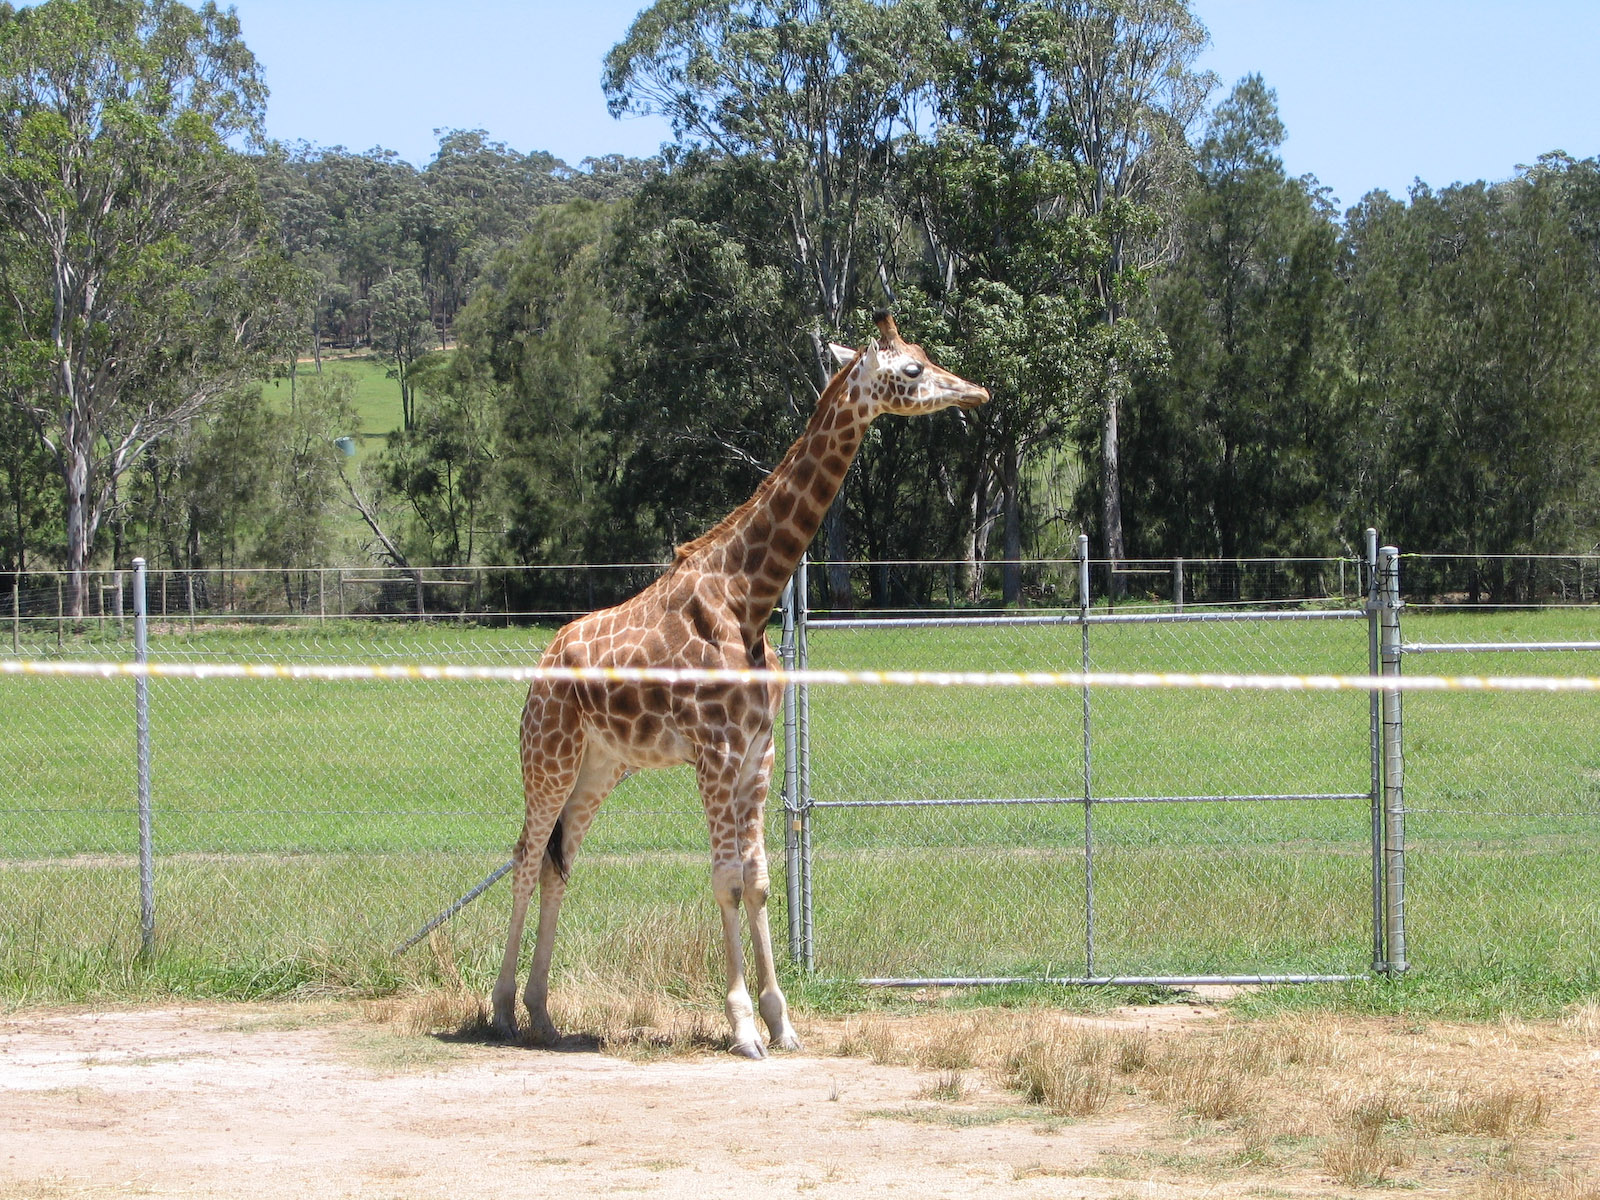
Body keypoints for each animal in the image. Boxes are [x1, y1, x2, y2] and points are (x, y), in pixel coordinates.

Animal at [492, 311, 989, 1058]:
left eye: (927, 356)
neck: (749, 595)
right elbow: (724, 880)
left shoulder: (759, 751)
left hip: (601, 765)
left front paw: (782, 1020)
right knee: (525, 856)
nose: (976, 392)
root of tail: (544, 664)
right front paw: (743, 1025)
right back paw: (500, 1010)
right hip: (547, 754)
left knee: (558, 863)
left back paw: (544, 1014)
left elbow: (757, 881)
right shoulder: (715, 751)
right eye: (911, 369)